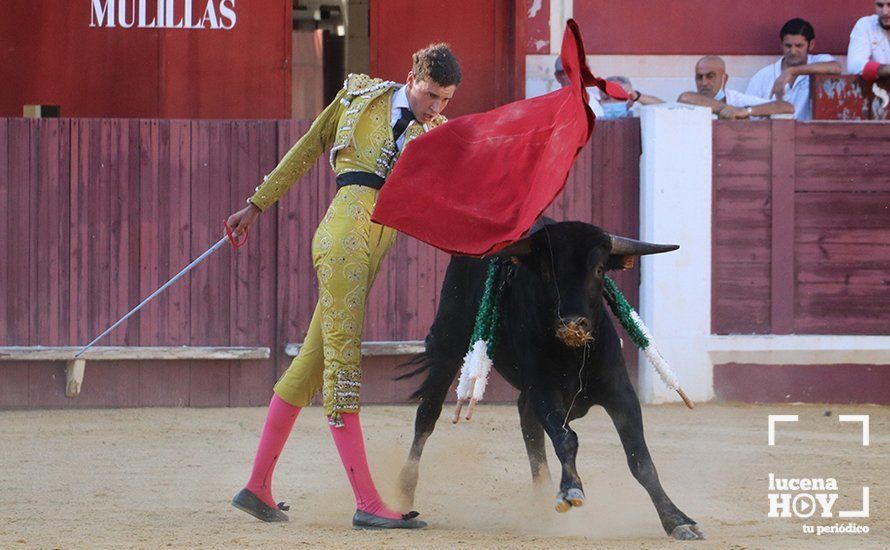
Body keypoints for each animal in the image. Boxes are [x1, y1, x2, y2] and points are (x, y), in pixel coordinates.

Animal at [398, 222, 704, 540]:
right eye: (547, 271)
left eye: (599, 269)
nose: (572, 323)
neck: (572, 353)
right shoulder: (544, 391)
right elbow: (566, 438)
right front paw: (570, 490)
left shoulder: (620, 392)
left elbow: (640, 460)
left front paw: (676, 519)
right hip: (450, 339)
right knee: (428, 413)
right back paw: (405, 491)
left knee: (528, 424)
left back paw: (539, 501)